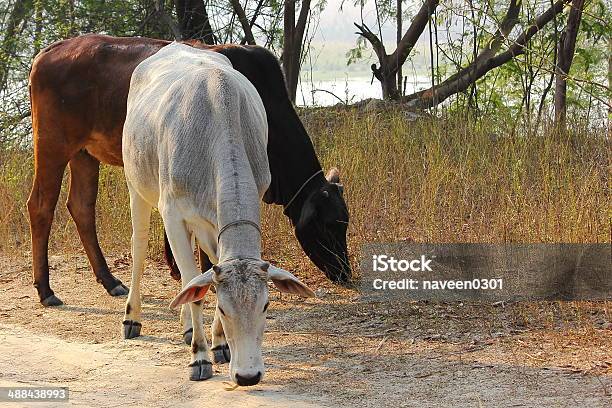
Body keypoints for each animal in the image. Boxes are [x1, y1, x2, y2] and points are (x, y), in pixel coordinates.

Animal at [27, 35, 350, 308]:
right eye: (328, 225)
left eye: (345, 223)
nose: (345, 274)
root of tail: (47, 52)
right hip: (53, 146)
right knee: (40, 206)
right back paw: (46, 290)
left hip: (84, 154)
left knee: (82, 207)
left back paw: (110, 281)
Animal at [123, 43, 316, 386]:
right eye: (225, 309)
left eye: (266, 305)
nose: (248, 376)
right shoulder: (172, 213)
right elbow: (197, 291)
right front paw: (199, 358)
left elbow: (207, 276)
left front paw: (219, 344)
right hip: (138, 188)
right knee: (140, 248)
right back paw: (132, 317)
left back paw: (188, 328)